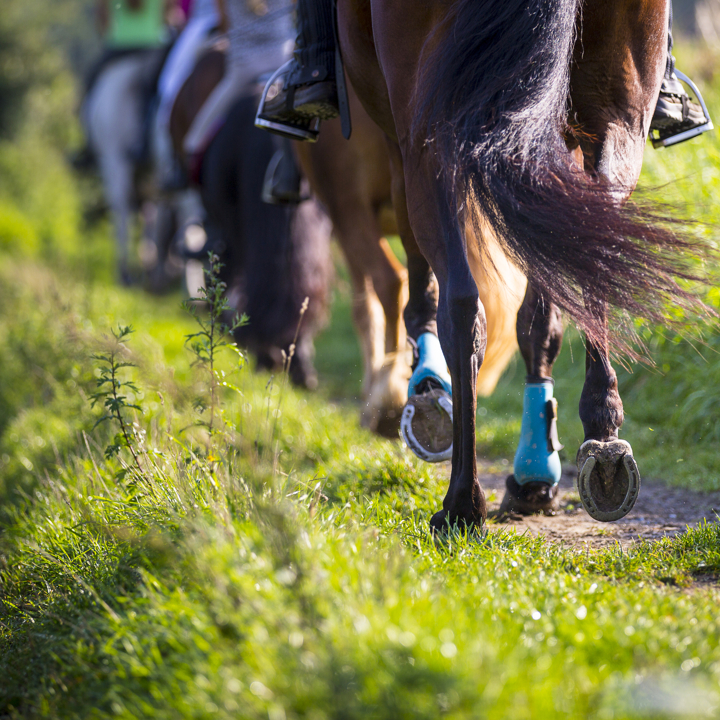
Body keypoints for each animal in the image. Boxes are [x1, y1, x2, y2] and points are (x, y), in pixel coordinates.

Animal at [336, 0, 704, 528]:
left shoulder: (396, 132)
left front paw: (426, 389)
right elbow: (539, 321)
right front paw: (536, 476)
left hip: (426, 133)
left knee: (461, 305)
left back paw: (462, 500)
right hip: (618, 113)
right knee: (594, 256)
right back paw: (604, 445)